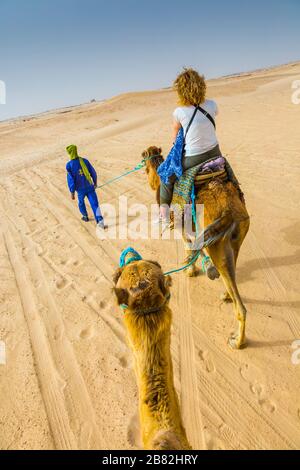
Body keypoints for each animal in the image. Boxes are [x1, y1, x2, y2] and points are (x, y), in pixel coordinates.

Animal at [142, 147, 250, 348]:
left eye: (143, 161)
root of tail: (228, 211)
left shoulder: (181, 224)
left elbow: (189, 246)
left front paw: (190, 271)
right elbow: (194, 247)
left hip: (217, 245)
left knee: (241, 307)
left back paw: (237, 342)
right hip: (236, 237)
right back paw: (226, 295)